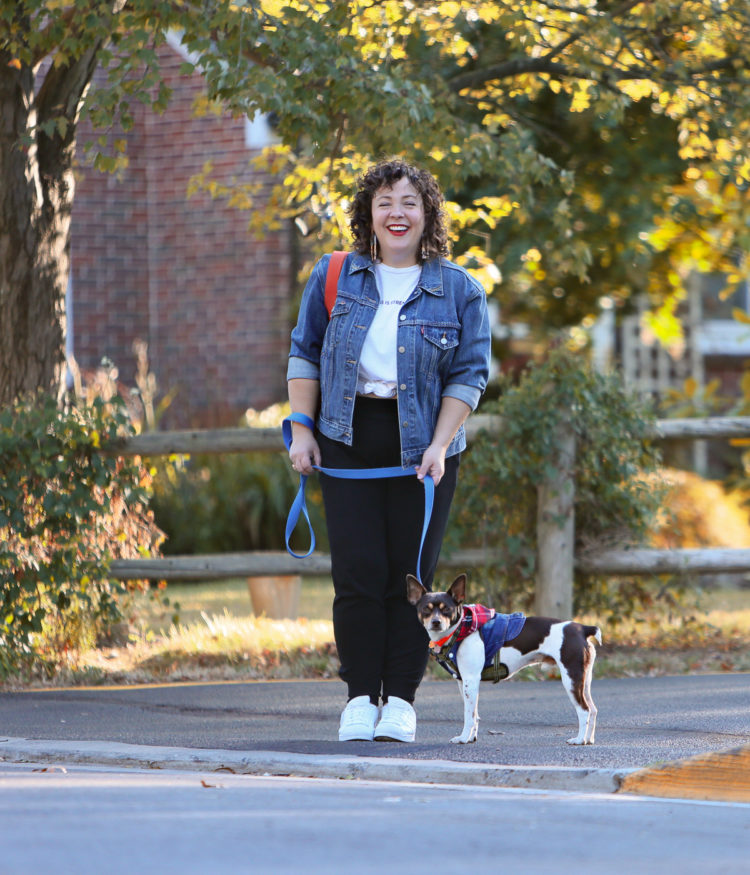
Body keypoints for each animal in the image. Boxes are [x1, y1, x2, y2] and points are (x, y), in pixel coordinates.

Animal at [408, 576, 604, 744]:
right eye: (426, 609)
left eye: (446, 609)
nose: (436, 622)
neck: (461, 629)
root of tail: (582, 628)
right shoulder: (465, 682)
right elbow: (474, 714)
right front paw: (471, 738)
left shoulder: (471, 680)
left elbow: (468, 715)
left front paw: (463, 738)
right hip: (583, 679)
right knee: (593, 709)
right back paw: (589, 739)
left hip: (571, 679)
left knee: (584, 710)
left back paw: (579, 740)